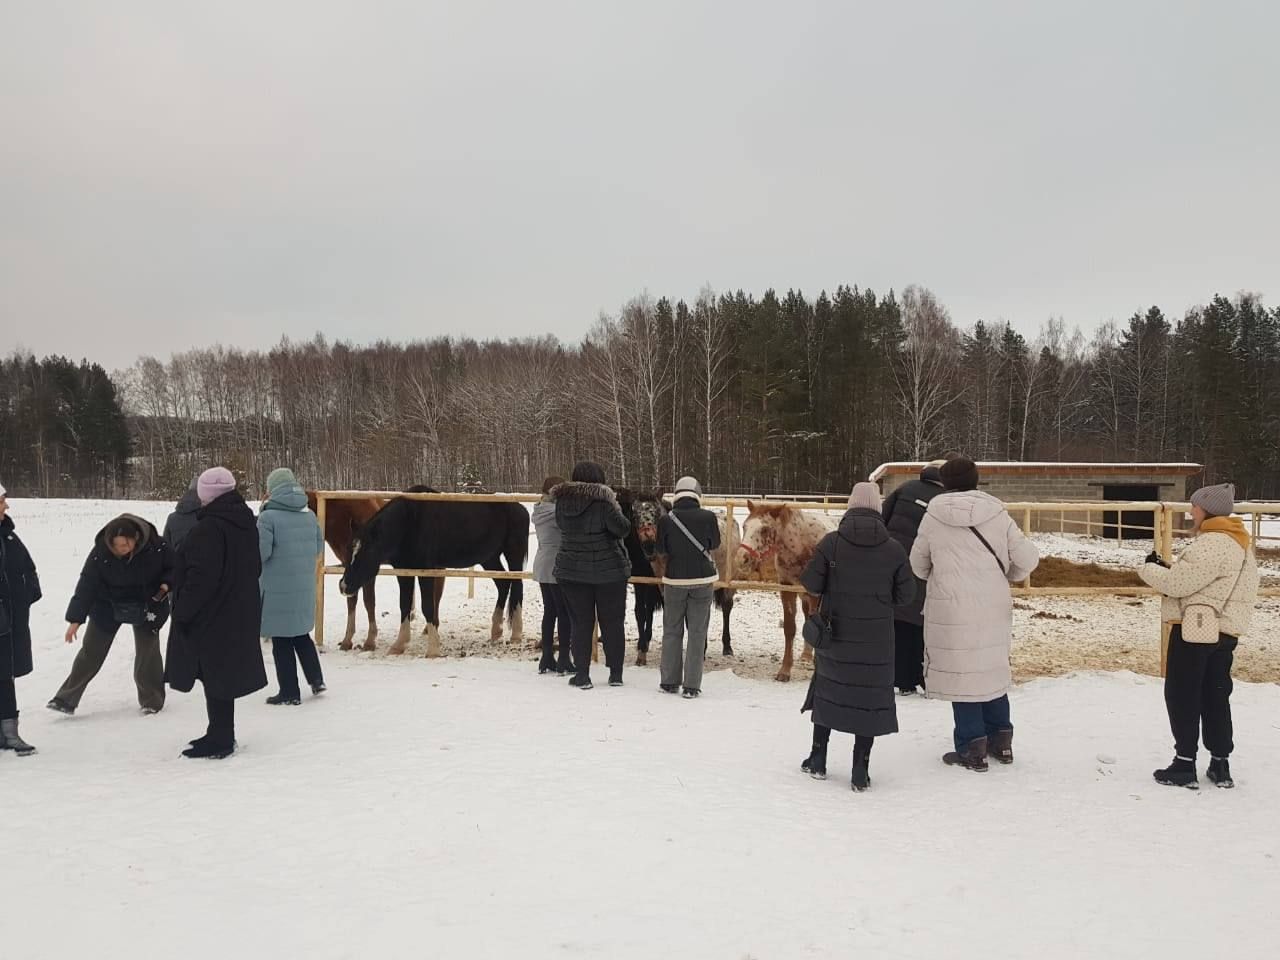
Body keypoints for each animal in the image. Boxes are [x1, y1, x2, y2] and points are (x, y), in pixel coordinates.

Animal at [340, 483, 529, 660]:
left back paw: (516, 634)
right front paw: (399, 645)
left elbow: (427, 606)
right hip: (489, 558)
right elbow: (404, 604)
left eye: (365, 553)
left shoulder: (427, 571)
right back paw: (496, 631)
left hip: (514, 555)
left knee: (517, 587)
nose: (343, 586)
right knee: (504, 584)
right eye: (349, 552)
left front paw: (433, 649)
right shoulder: (404, 572)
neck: (409, 522)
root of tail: (521, 509)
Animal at [732, 504, 839, 686]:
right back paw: (806, 656)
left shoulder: (816, 595)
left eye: (764, 529)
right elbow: (790, 629)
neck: (801, 545)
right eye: (745, 526)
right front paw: (784, 671)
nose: (741, 558)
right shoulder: (788, 588)